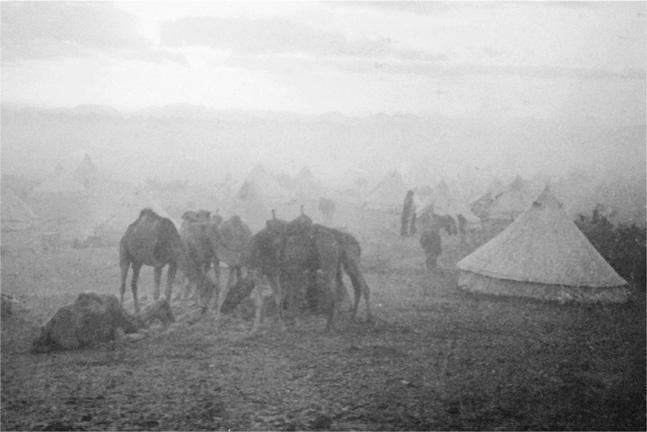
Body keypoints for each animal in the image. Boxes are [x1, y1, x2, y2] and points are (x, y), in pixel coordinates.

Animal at [32, 292, 175, 352]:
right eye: (167, 308)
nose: (173, 319)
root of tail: (46, 328)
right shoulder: (118, 327)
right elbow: (127, 338)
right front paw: (110, 344)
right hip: (70, 340)